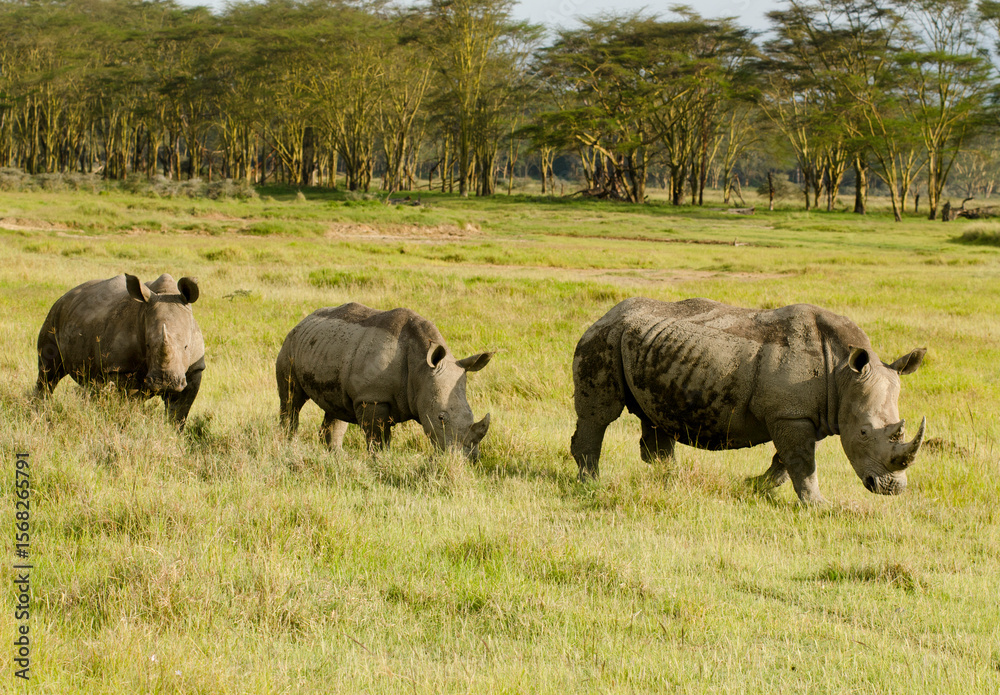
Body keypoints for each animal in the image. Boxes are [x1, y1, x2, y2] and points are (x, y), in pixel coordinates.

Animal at [36, 273, 205, 426]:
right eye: (148, 345)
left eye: (186, 347)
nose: (165, 383)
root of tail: (65, 295)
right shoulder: (120, 367)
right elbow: (127, 403)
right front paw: (125, 425)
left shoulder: (194, 369)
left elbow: (178, 412)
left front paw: (172, 432)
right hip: (54, 316)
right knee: (48, 373)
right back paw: (39, 410)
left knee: (90, 384)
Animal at [276, 303, 493, 459]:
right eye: (441, 418)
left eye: (471, 415)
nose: (469, 458)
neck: (421, 368)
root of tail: (303, 320)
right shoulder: (372, 397)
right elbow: (378, 438)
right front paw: (379, 461)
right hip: (290, 345)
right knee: (291, 399)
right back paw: (288, 445)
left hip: (325, 347)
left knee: (336, 407)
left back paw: (337, 456)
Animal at [571, 297, 927, 504]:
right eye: (864, 433)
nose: (891, 489)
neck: (842, 373)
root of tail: (606, 314)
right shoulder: (790, 414)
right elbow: (802, 463)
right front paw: (818, 506)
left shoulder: (802, 415)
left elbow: (785, 463)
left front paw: (752, 486)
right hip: (605, 337)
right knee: (600, 416)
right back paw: (591, 484)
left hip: (649, 343)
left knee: (655, 416)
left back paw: (670, 481)